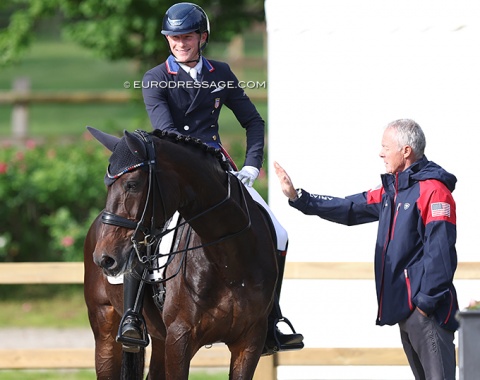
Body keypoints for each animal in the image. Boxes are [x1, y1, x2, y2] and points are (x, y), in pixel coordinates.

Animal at [83, 128, 278, 380]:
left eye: (132, 184)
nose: (104, 258)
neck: (229, 262)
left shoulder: (250, 341)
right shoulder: (179, 338)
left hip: (159, 338)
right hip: (105, 327)